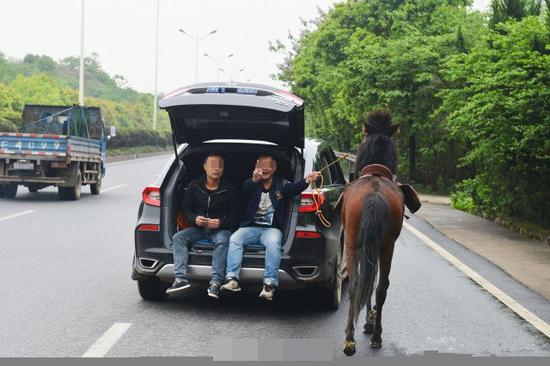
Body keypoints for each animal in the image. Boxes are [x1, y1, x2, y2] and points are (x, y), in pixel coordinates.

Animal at [342, 111, 404, 354]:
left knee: (357, 284)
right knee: (380, 286)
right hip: (386, 246)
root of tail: (376, 194)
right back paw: (375, 335)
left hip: (352, 242)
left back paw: (353, 337)